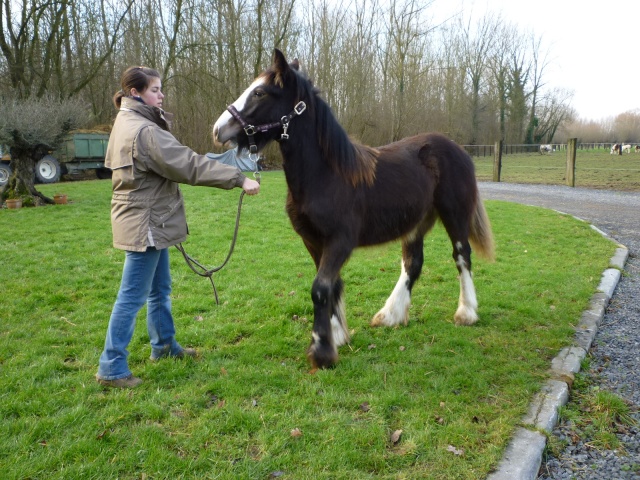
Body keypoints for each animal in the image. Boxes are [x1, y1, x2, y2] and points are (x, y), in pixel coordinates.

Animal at [214, 49, 496, 368]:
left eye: (260, 92)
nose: (218, 129)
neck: (326, 175)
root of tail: (458, 149)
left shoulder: (340, 241)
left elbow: (320, 288)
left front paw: (322, 350)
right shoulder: (313, 241)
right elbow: (331, 286)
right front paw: (337, 336)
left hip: (454, 215)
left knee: (462, 256)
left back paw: (466, 312)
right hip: (415, 223)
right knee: (413, 263)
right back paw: (390, 315)